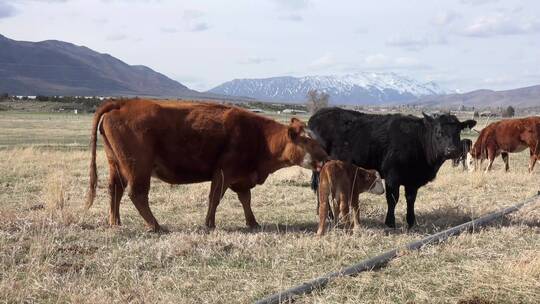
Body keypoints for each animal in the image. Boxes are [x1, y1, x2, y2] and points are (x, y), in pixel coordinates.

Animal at [86, 98, 326, 232]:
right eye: (307, 140)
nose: (325, 156)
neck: (260, 137)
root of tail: (122, 103)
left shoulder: (241, 178)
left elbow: (246, 200)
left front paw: (253, 222)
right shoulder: (223, 172)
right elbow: (215, 198)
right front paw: (209, 224)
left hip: (116, 165)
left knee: (114, 190)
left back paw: (115, 222)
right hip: (139, 169)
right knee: (136, 194)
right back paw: (155, 226)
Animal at [308, 107, 476, 228]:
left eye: (458, 131)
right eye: (439, 132)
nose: (452, 150)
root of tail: (317, 115)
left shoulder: (412, 180)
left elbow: (411, 199)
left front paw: (411, 221)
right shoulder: (392, 176)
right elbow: (393, 199)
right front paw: (390, 222)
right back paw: (328, 215)